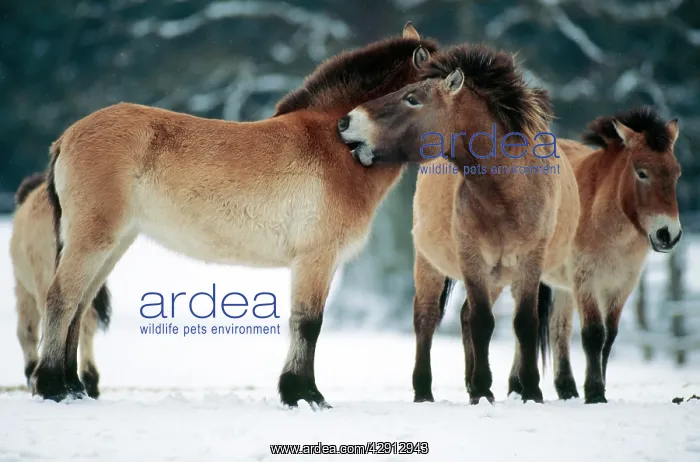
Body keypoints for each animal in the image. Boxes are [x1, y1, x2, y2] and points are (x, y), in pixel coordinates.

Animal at [30, 22, 439, 407]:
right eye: (416, 97)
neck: (336, 143)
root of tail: (67, 136)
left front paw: (301, 391)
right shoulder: (315, 259)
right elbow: (308, 323)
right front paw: (304, 394)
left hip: (114, 243)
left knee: (80, 306)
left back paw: (72, 387)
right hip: (93, 239)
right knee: (61, 298)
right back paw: (52, 386)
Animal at [338, 44, 581, 404]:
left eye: (412, 98)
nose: (345, 121)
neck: (507, 193)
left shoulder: (529, 261)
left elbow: (523, 322)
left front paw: (530, 391)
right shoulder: (472, 258)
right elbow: (481, 322)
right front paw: (481, 387)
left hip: (499, 276)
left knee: (466, 314)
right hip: (430, 265)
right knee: (426, 318)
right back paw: (425, 391)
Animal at [534, 107, 682, 404]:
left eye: (676, 173)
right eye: (642, 173)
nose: (668, 234)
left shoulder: (621, 286)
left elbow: (609, 337)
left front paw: (598, 387)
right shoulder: (586, 281)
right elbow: (593, 334)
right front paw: (594, 393)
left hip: (562, 287)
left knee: (558, 328)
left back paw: (566, 389)